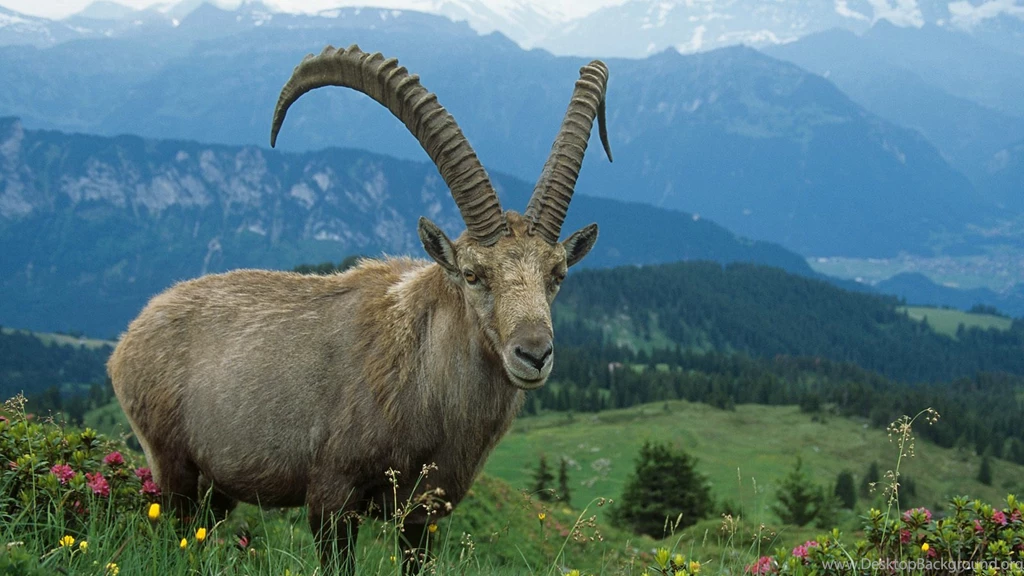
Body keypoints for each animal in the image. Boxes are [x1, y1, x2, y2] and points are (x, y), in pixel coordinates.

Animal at [108, 44, 612, 573]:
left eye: (558, 274)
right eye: (473, 273)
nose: (534, 354)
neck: (420, 376)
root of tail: (128, 339)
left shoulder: (423, 514)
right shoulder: (332, 497)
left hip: (218, 488)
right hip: (172, 465)